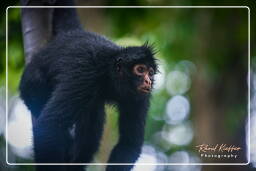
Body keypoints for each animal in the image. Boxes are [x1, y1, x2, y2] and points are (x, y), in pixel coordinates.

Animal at [19, 0, 157, 170]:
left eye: (151, 72)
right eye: (140, 69)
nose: (148, 81)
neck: (108, 73)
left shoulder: (141, 97)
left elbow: (129, 144)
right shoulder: (86, 76)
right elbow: (49, 126)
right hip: (31, 84)